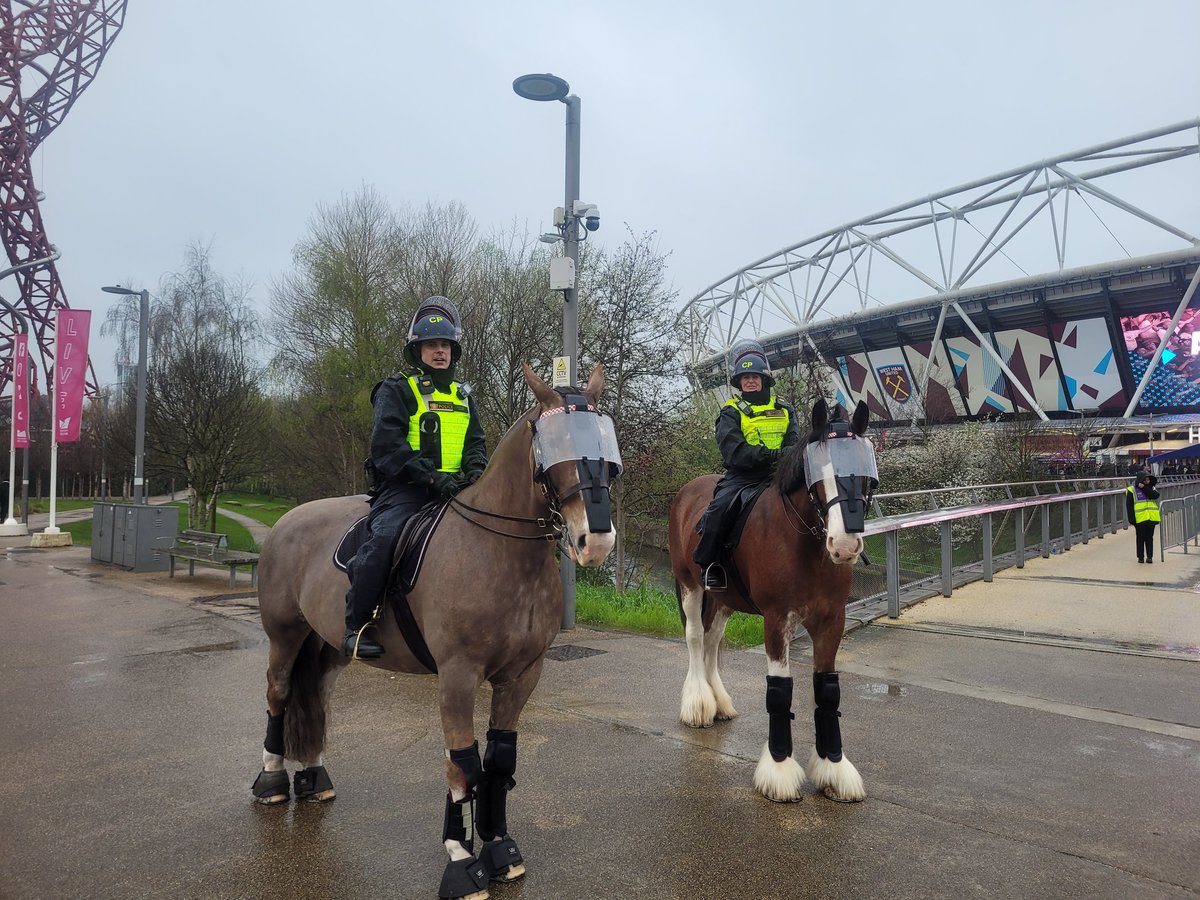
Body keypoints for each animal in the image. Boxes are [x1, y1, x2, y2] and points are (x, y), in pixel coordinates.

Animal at [672, 400, 878, 801]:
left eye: (865, 472)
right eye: (817, 474)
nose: (845, 545)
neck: (807, 547)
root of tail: (688, 490)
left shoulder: (832, 620)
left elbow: (828, 690)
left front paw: (834, 768)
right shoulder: (777, 618)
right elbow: (779, 692)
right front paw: (779, 771)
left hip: (723, 600)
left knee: (711, 640)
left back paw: (719, 702)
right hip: (690, 585)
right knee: (694, 638)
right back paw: (698, 704)